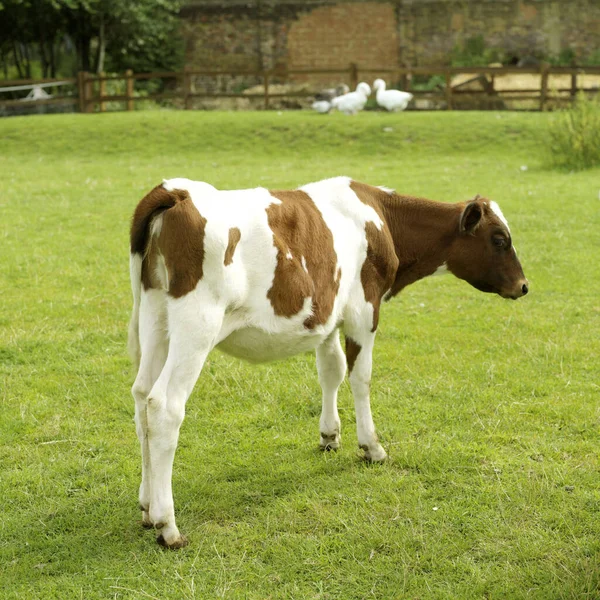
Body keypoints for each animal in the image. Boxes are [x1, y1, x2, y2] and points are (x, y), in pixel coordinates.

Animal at [129, 175, 528, 548]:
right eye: (499, 239)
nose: (524, 286)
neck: (382, 217)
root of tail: (177, 191)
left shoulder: (327, 315)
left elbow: (331, 371)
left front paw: (330, 435)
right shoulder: (364, 309)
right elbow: (360, 377)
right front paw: (371, 446)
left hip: (155, 315)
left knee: (142, 398)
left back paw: (147, 507)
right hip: (197, 322)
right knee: (164, 406)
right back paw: (168, 526)